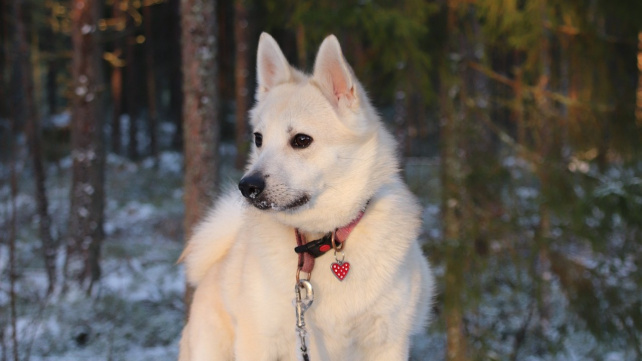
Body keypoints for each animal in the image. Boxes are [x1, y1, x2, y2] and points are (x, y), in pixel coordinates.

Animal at [178, 32, 432, 358]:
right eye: (258, 139)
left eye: (301, 140)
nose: (246, 186)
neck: (322, 242)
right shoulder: (263, 341)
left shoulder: (387, 343)